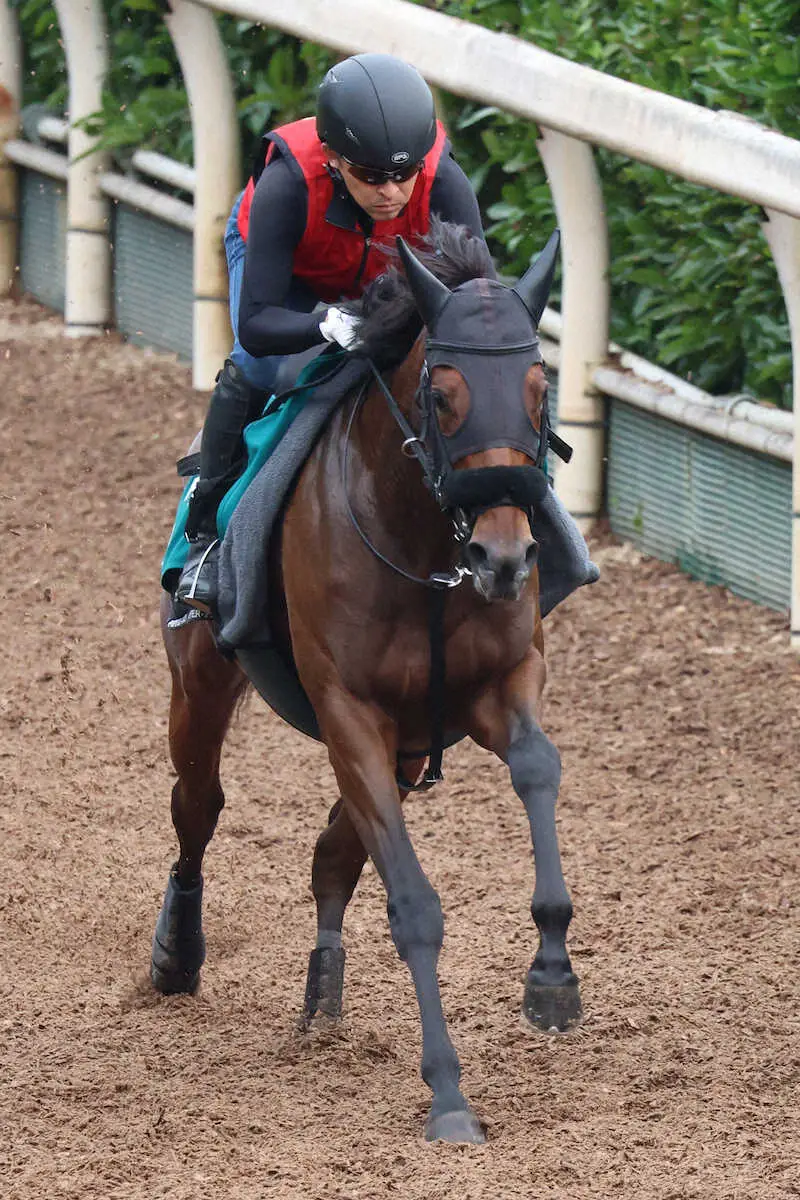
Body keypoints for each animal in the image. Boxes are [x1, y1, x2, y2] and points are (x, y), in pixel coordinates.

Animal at [153, 220, 585, 1147]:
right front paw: (449, 1094)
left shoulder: (498, 683)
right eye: (444, 391)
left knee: (330, 854)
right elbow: (413, 907)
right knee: (198, 808)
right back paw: (177, 952)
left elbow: (539, 768)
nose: (505, 557)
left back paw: (322, 997)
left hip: (408, 747)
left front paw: (551, 974)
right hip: (203, 680)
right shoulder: (350, 711)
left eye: (539, 388)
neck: (427, 552)